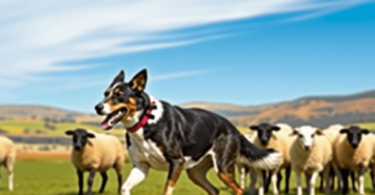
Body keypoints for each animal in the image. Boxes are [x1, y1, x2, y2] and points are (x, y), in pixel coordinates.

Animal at [94, 69, 282, 194]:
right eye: (105, 93)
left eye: (119, 95)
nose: (97, 107)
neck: (145, 120)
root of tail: (232, 128)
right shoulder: (141, 166)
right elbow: (124, 187)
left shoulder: (176, 162)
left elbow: (166, 190)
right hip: (195, 172)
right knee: (214, 190)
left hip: (223, 168)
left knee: (239, 190)